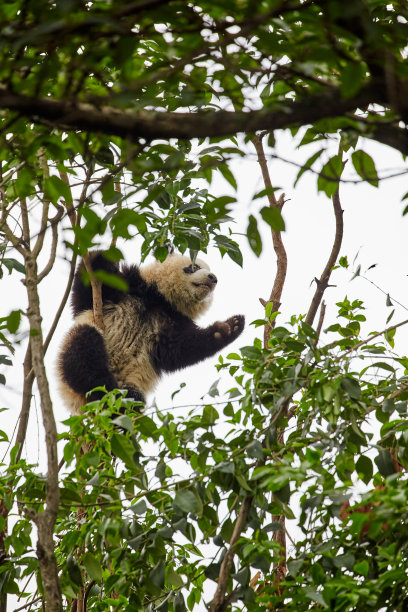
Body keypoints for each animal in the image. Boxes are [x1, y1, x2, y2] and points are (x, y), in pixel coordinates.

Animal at [55, 250, 244, 416]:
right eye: (194, 267)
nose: (213, 278)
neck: (159, 300)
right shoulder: (125, 288)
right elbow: (87, 287)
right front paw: (103, 256)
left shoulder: (171, 323)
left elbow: (182, 349)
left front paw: (229, 328)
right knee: (83, 352)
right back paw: (104, 384)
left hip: (132, 381)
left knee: (133, 401)